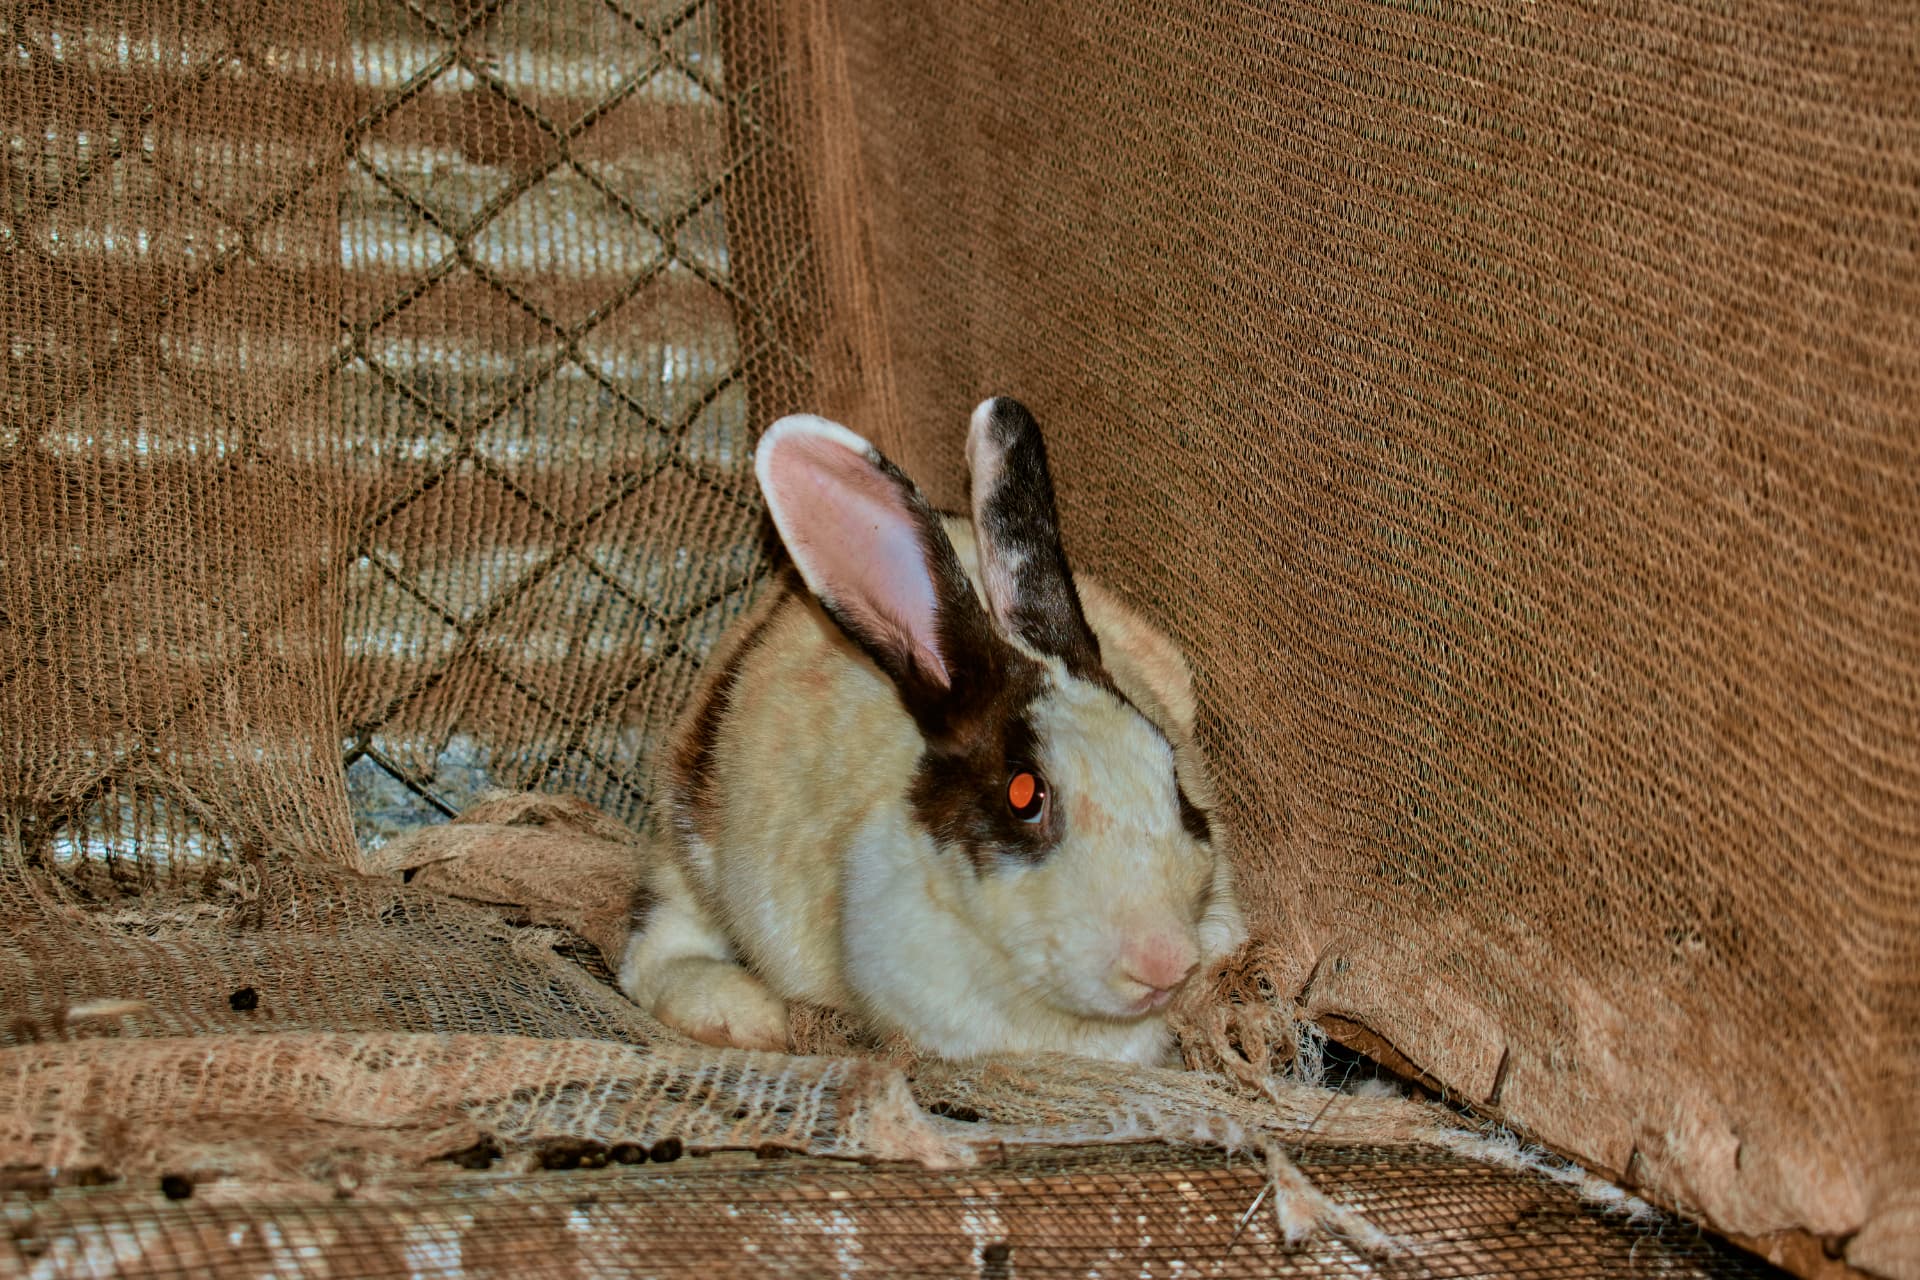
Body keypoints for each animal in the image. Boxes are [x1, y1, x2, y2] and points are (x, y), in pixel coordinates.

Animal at [619, 396, 1246, 1065]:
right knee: (654, 942)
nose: (1164, 961)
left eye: (1172, 775)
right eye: (1024, 794)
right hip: (687, 838)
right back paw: (740, 1017)